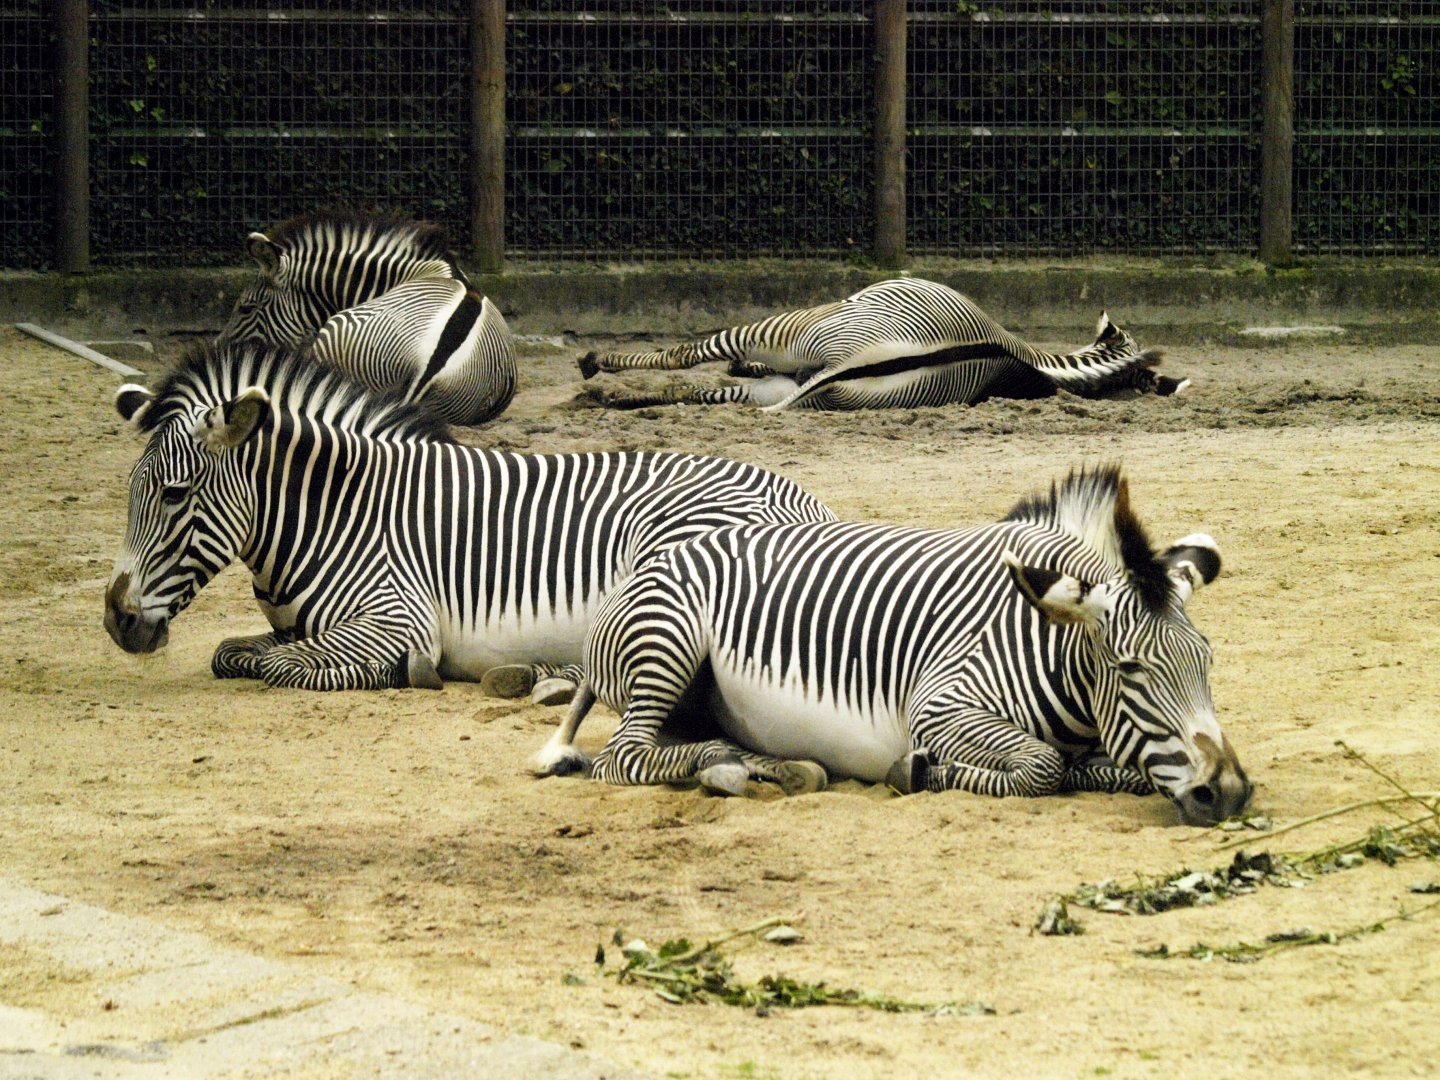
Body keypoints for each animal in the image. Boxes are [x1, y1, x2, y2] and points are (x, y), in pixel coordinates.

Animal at [103, 341, 834, 710]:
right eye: (131, 495)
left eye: (173, 495)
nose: (116, 621)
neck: (332, 513)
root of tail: (808, 502)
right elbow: (234, 652)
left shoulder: (396, 619)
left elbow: (282, 665)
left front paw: (411, 673)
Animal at [565, 465, 1249, 825]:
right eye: (1131, 669)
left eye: (1208, 662)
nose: (1231, 794)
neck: (1041, 636)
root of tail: (655, 559)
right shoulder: (940, 704)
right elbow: (1043, 767)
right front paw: (923, 770)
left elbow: (1109, 769)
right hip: (668, 641)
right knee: (621, 757)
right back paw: (723, 762)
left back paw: (775, 766)